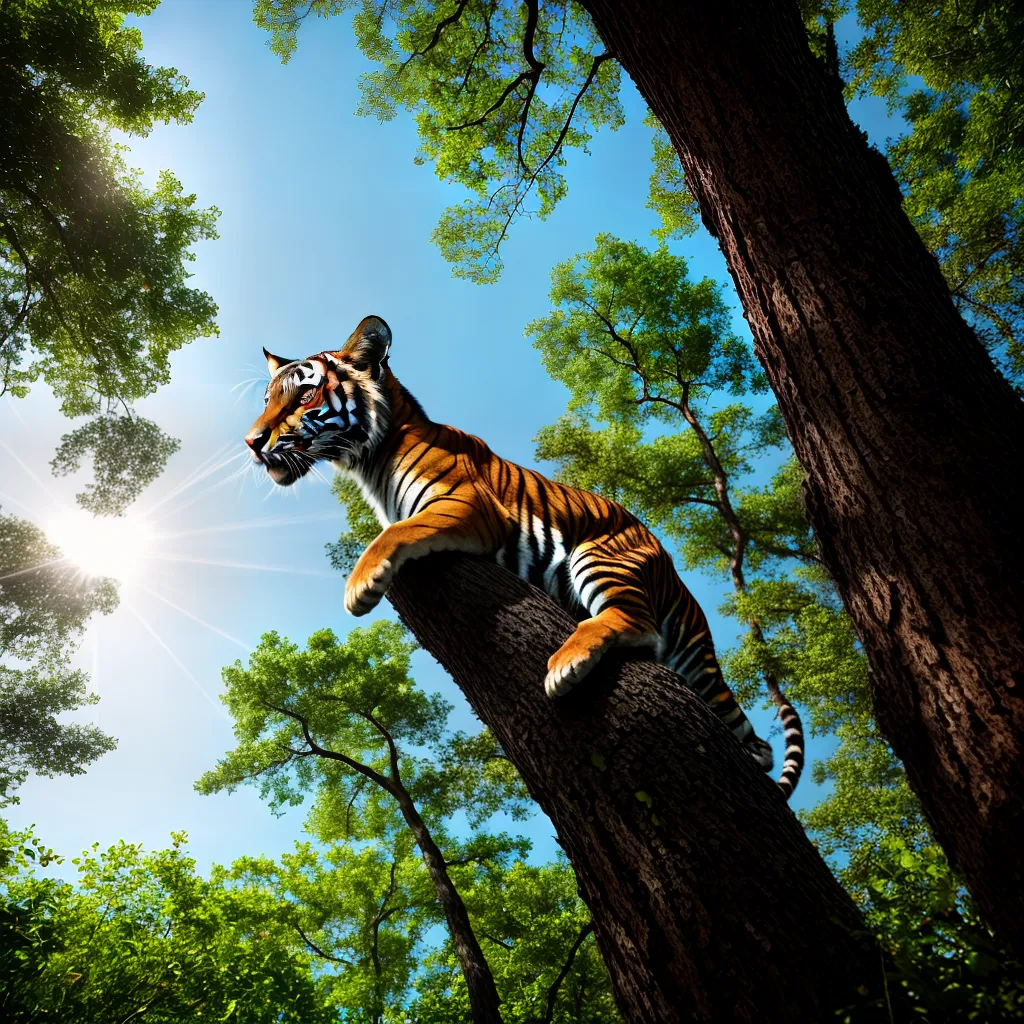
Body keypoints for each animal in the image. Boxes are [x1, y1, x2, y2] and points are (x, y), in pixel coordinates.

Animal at [244, 315, 805, 797]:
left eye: (305, 394)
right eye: (269, 398)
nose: (251, 441)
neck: (369, 460)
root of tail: (683, 589)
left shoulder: (469, 504)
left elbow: (392, 534)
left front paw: (360, 587)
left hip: (600, 556)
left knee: (637, 624)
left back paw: (565, 666)